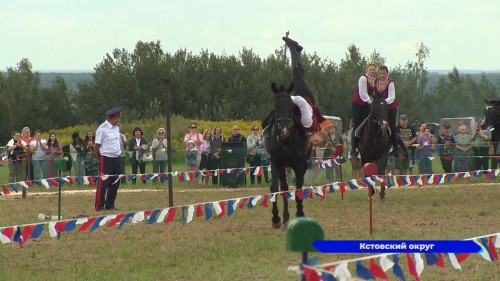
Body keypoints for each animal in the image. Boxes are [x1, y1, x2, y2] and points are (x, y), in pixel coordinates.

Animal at [264, 81, 306, 228]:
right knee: (284, 187)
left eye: (290, 104)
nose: (284, 129)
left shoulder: (300, 164)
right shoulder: (276, 163)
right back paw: (285, 216)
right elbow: (275, 188)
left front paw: (300, 213)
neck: (286, 141)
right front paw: (276, 218)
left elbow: (298, 188)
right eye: (275, 105)